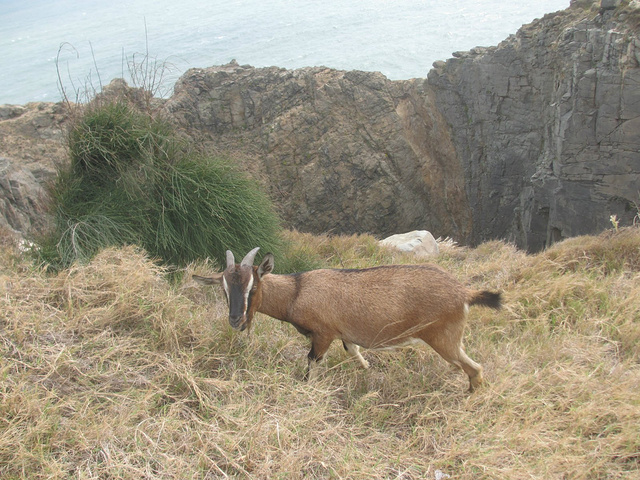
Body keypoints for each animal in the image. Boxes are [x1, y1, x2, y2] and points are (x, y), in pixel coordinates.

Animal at [192, 248, 502, 390]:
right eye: (223, 289)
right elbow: (354, 352)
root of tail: (464, 292)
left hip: (443, 338)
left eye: (252, 288)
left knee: (475, 368)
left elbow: (311, 363)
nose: (236, 320)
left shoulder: (323, 334)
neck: (296, 291)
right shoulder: (344, 335)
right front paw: (368, 372)